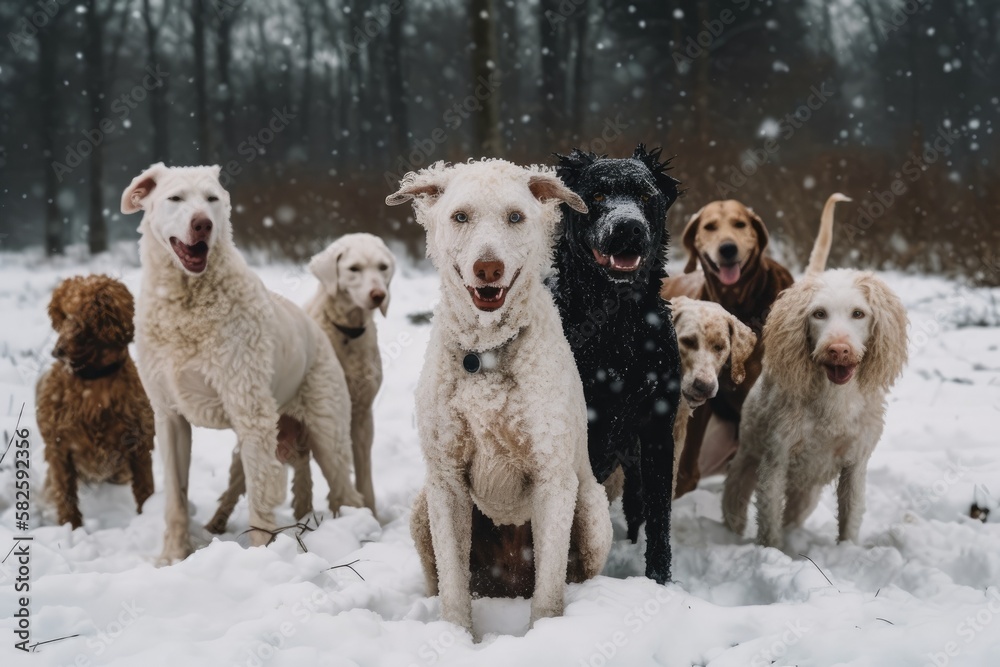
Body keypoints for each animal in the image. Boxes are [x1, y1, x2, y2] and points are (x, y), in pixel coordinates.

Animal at [36, 274, 154, 528]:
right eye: (64, 315)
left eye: (86, 317)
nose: (57, 352)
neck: (94, 382)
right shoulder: (59, 449)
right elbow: (66, 496)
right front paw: (71, 528)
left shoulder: (139, 443)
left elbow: (145, 489)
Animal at [120, 163, 362, 564]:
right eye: (175, 198)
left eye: (212, 199)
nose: (203, 224)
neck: (187, 299)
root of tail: (317, 331)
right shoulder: (170, 417)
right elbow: (176, 496)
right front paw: (173, 556)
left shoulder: (250, 410)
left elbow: (261, 495)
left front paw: (262, 557)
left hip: (327, 430)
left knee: (346, 492)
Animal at [386, 159, 612, 636]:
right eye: (460, 216)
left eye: (515, 216)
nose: (488, 268)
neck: (485, 353)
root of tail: (509, 584)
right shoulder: (447, 483)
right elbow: (453, 582)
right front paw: (455, 637)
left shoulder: (553, 480)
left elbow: (549, 587)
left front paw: (544, 632)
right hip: (421, 509)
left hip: (592, 510)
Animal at [552, 146, 684, 584]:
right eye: (596, 196)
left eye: (645, 195)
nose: (627, 227)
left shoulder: (659, 429)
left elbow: (660, 521)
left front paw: (660, 583)